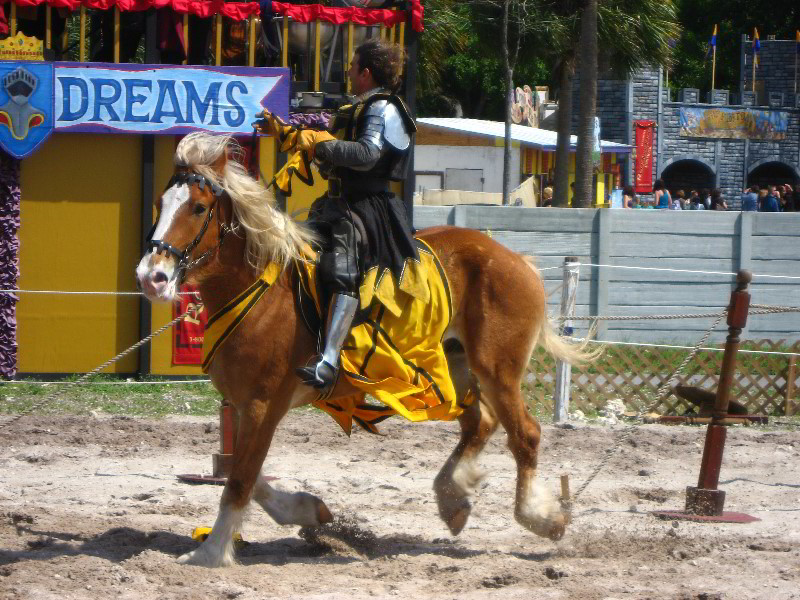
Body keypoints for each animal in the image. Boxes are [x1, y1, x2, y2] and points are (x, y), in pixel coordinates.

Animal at [134, 131, 592, 568]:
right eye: (160, 204)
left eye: (198, 208)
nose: (151, 277)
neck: (262, 290)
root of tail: (516, 261)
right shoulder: (247, 407)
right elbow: (245, 472)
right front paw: (307, 510)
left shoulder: (264, 405)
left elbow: (240, 481)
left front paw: (211, 553)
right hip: (454, 364)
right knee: (479, 424)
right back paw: (453, 497)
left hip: (497, 369)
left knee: (524, 433)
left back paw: (540, 517)